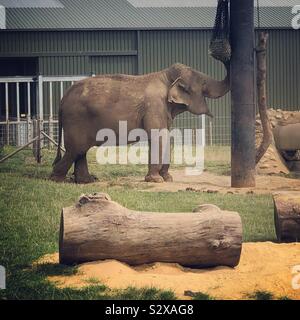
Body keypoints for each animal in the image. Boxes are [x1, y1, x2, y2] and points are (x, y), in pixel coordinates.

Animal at [51, 62, 230, 184]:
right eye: (204, 84)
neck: (166, 77)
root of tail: (62, 99)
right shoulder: (155, 106)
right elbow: (159, 137)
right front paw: (157, 180)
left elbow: (164, 137)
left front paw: (167, 178)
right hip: (76, 120)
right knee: (76, 149)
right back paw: (57, 179)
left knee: (80, 151)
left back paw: (87, 181)